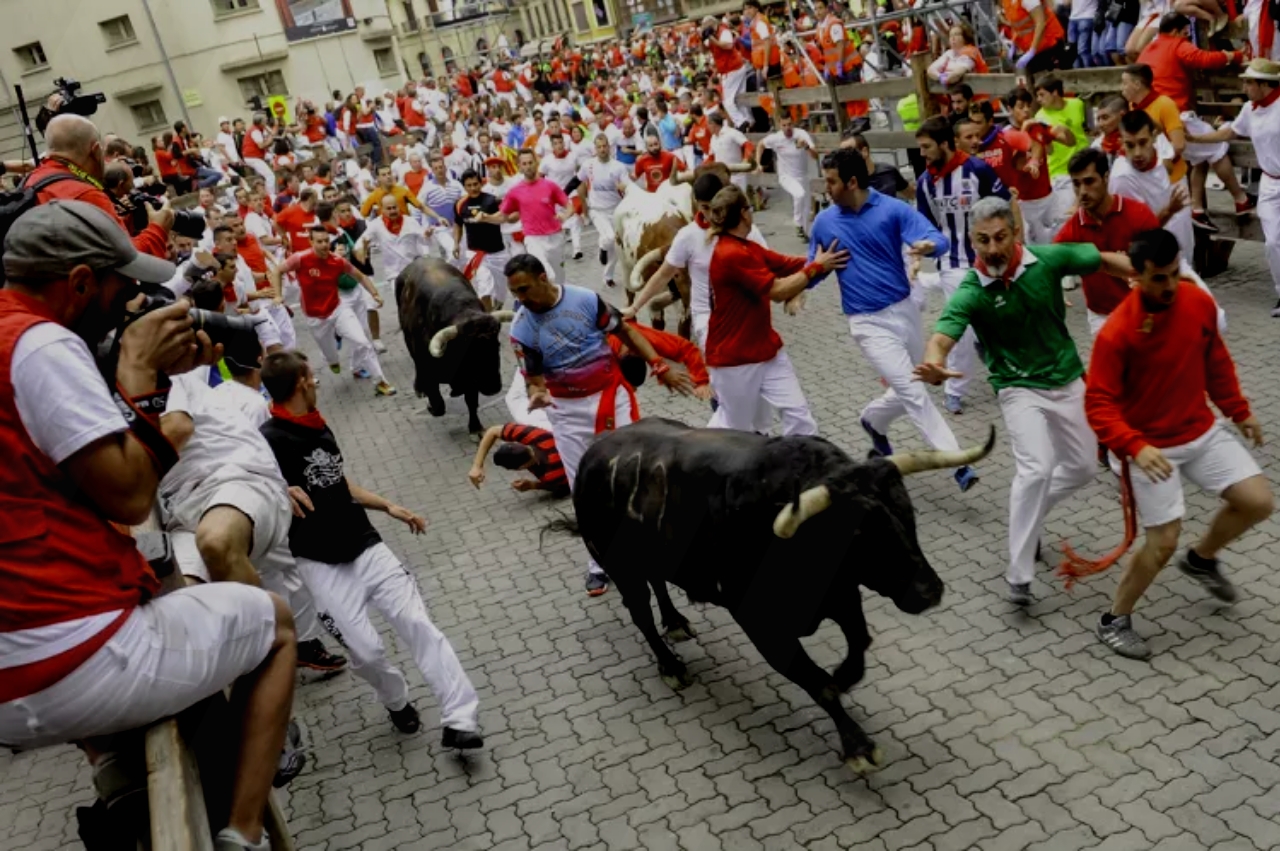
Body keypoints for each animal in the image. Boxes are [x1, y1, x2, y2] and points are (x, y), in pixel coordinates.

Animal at [391, 257, 512, 432]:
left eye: (497, 346)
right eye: (470, 353)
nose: (493, 387)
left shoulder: (470, 379)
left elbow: (471, 401)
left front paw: (475, 426)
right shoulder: (428, 369)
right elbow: (439, 404)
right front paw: (430, 407)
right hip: (409, 342)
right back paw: (419, 389)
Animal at [545, 414, 993, 772]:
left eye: (907, 510)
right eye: (858, 533)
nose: (928, 591)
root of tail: (593, 454)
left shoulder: (842, 593)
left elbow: (858, 646)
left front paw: (844, 678)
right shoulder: (761, 623)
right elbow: (816, 682)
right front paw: (858, 746)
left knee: (659, 584)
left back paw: (675, 622)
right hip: (621, 567)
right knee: (639, 613)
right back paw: (671, 666)